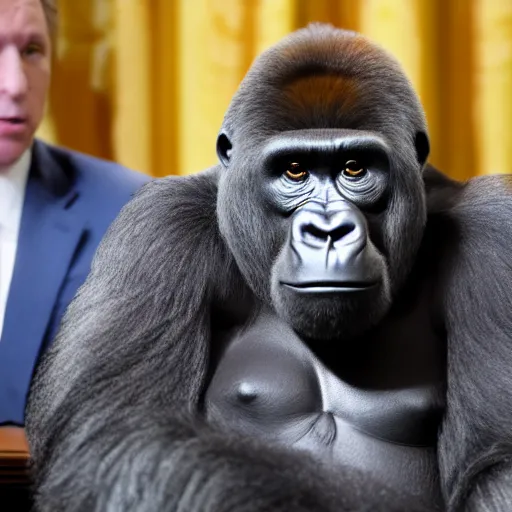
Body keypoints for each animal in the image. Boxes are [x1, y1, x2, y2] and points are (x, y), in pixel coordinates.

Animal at [26, 22, 512, 510]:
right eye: (295, 170)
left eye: (354, 168)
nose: (329, 231)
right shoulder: (159, 227)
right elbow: (118, 437)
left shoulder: (491, 232)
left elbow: (498, 464)